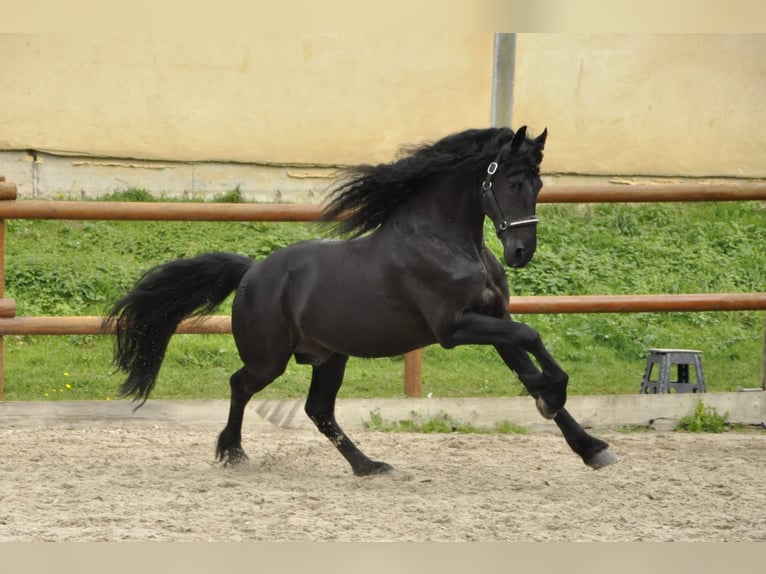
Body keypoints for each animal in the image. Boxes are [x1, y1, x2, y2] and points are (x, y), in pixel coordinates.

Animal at [106, 128, 616, 480]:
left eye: (539, 183)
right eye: (511, 182)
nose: (521, 252)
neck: (448, 242)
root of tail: (252, 272)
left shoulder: (492, 319)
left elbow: (528, 366)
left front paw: (591, 447)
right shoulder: (455, 328)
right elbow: (533, 338)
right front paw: (554, 396)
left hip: (331, 356)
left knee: (319, 410)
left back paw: (368, 466)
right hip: (270, 359)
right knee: (240, 385)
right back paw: (233, 453)